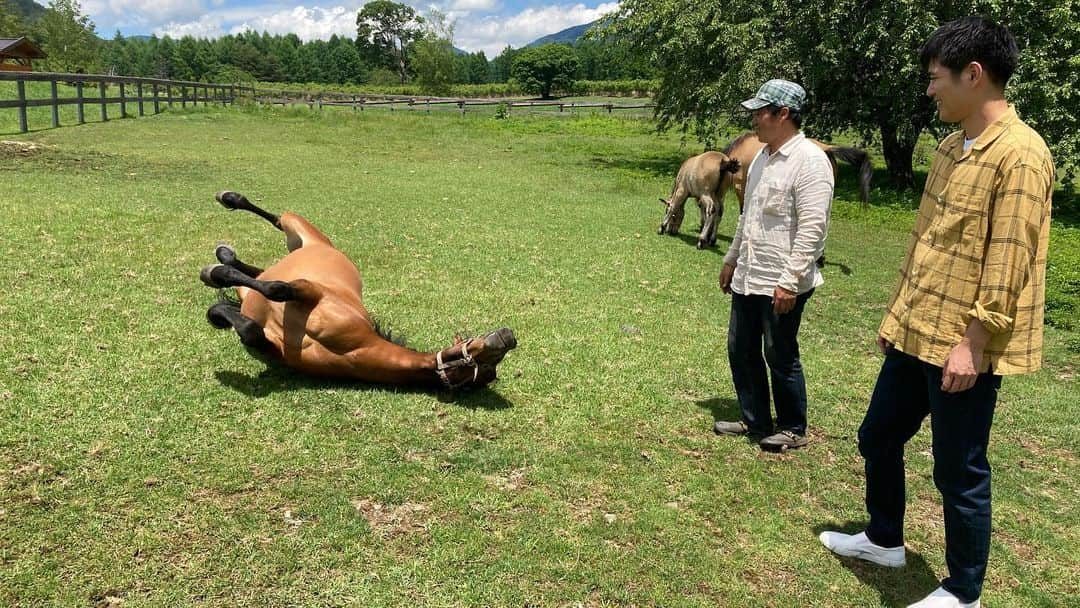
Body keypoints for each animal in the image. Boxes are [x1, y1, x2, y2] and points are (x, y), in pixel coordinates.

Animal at [199, 190, 518, 390]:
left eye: (486, 368)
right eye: (482, 355)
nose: (507, 337)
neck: (353, 348)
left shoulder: (273, 346)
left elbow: (249, 330)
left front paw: (218, 306)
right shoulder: (309, 291)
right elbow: (277, 289)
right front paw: (214, 275)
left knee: (250, 271)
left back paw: (224, 255)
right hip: (299, 227)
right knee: (276, 220)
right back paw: (228, 199)